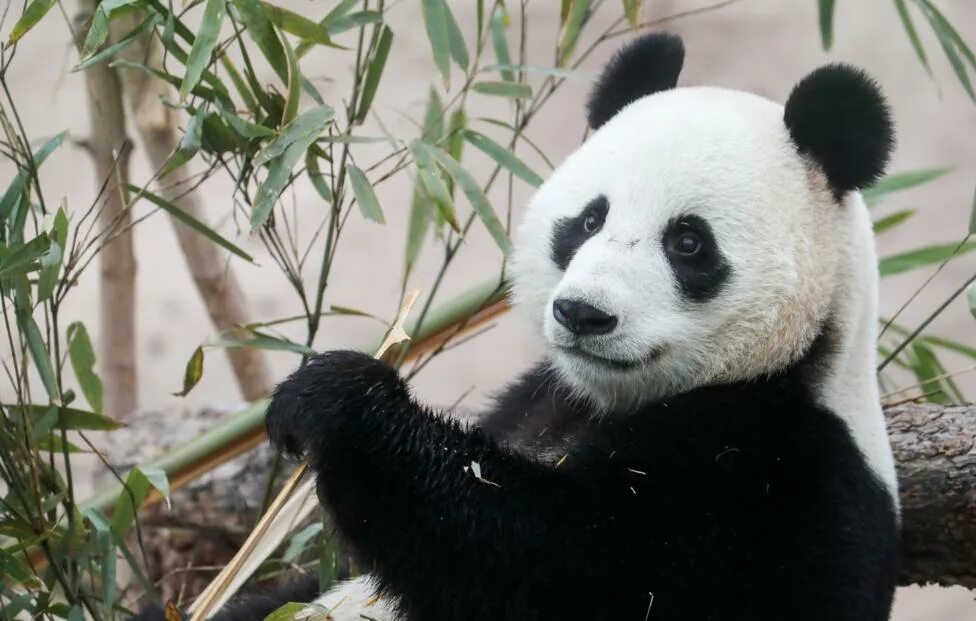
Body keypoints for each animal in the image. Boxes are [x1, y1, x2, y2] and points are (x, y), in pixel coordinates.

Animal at [170, 32, 908, 620]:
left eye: (689, 243)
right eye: (587, 219)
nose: (583, 313)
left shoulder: (772, 482)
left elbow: (562, 566)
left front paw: (338, 403)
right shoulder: (536, 398)